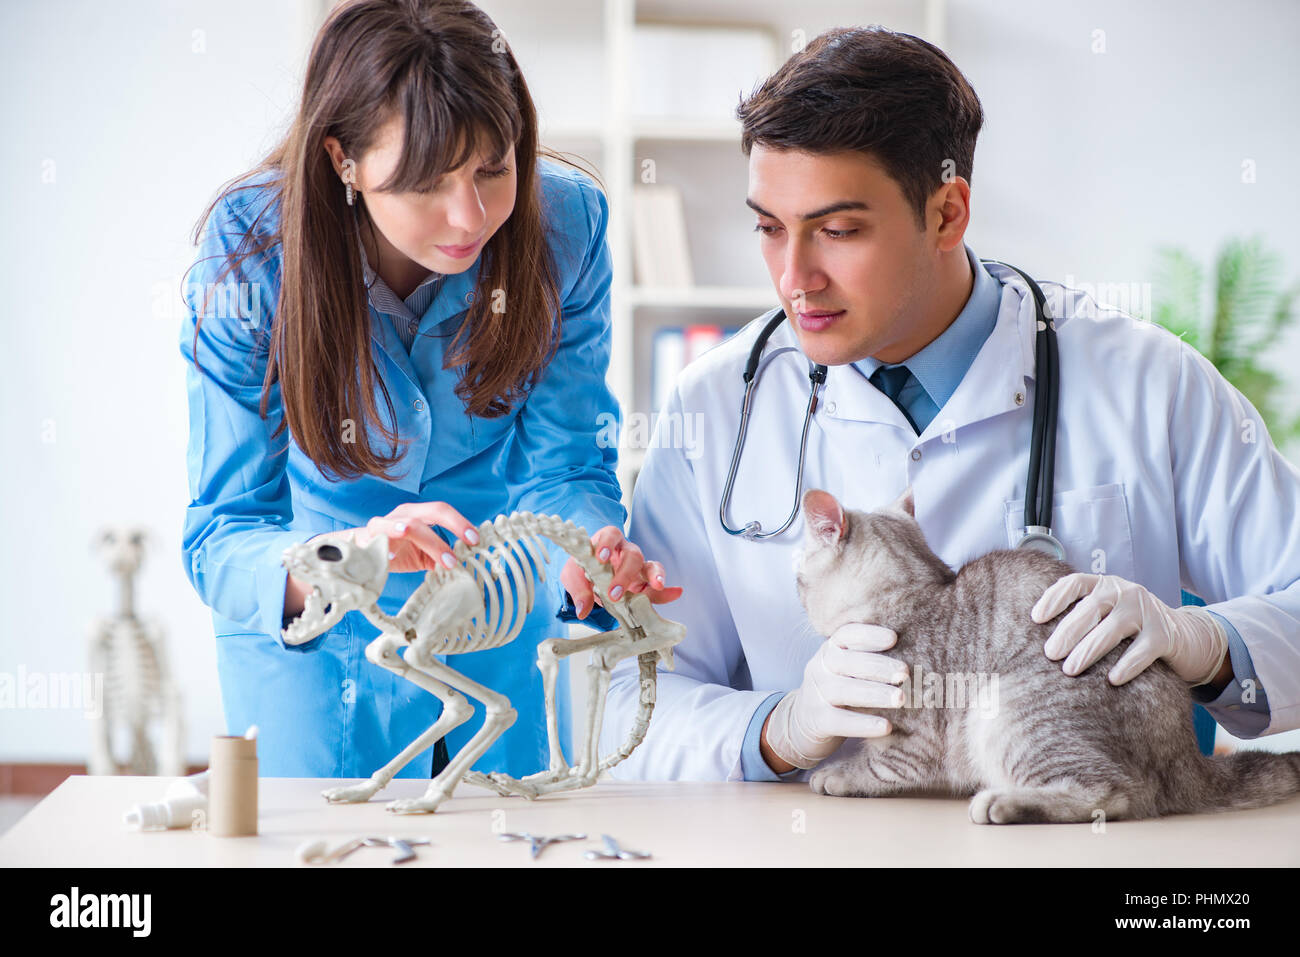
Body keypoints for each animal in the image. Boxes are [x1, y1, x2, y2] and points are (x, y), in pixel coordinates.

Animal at [790, 486, 1300, 821]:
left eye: (798, 579)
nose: (794, 592)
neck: (913, 592)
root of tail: (1188, 759)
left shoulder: (914, 738)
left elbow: (880, 765)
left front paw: (838, 773)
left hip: (1009, 712)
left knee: (1112, 794)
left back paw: (1006, 802)